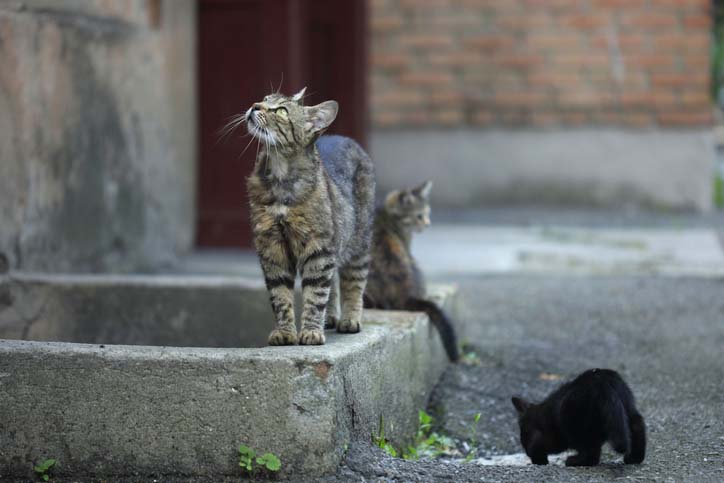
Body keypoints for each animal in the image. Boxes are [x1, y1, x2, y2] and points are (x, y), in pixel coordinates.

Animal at [246, 89, 376, 346]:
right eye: (265, 99)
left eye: (281, 111)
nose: (255, 106)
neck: (281, 177)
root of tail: (347, 139)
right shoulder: (271, 248)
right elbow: (280, 296)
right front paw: (285, 332)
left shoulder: (319, 248)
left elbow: (315, 295)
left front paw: (311, 332)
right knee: (333, 283)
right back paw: (331, 317)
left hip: (358, 244)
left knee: (353, 282)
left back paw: (350, 319)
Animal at [512, 368, 648, 466]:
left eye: (524, 436)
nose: (526, 452)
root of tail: (601, 383)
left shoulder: (544, 437)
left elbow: (536, 445)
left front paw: (539, 460)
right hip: (628, 408)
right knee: (638, 426)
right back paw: (634, 458)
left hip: (575, 424)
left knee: (592, 453)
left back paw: (574, 461)